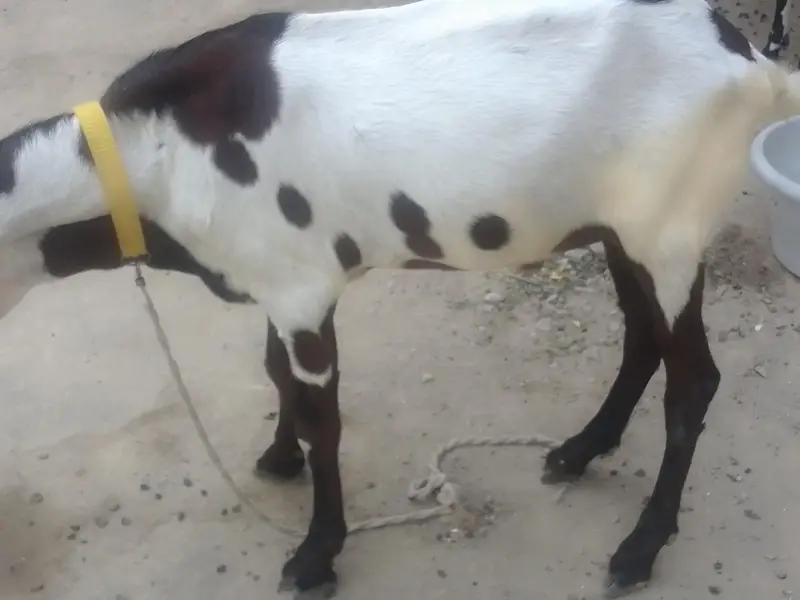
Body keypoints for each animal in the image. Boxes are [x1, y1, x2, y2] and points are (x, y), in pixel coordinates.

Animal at [1, 0, 799, 597]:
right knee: (641, 340)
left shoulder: (300, 289)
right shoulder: (277, 280)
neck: (155, 154)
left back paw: (640, 548)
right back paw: (579, 451)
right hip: (621, 231)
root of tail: (751, 62)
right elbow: (275, 373)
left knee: (693, 381)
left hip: (669, 232)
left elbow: (322, 417)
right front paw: (279, 457)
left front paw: (316, 554)